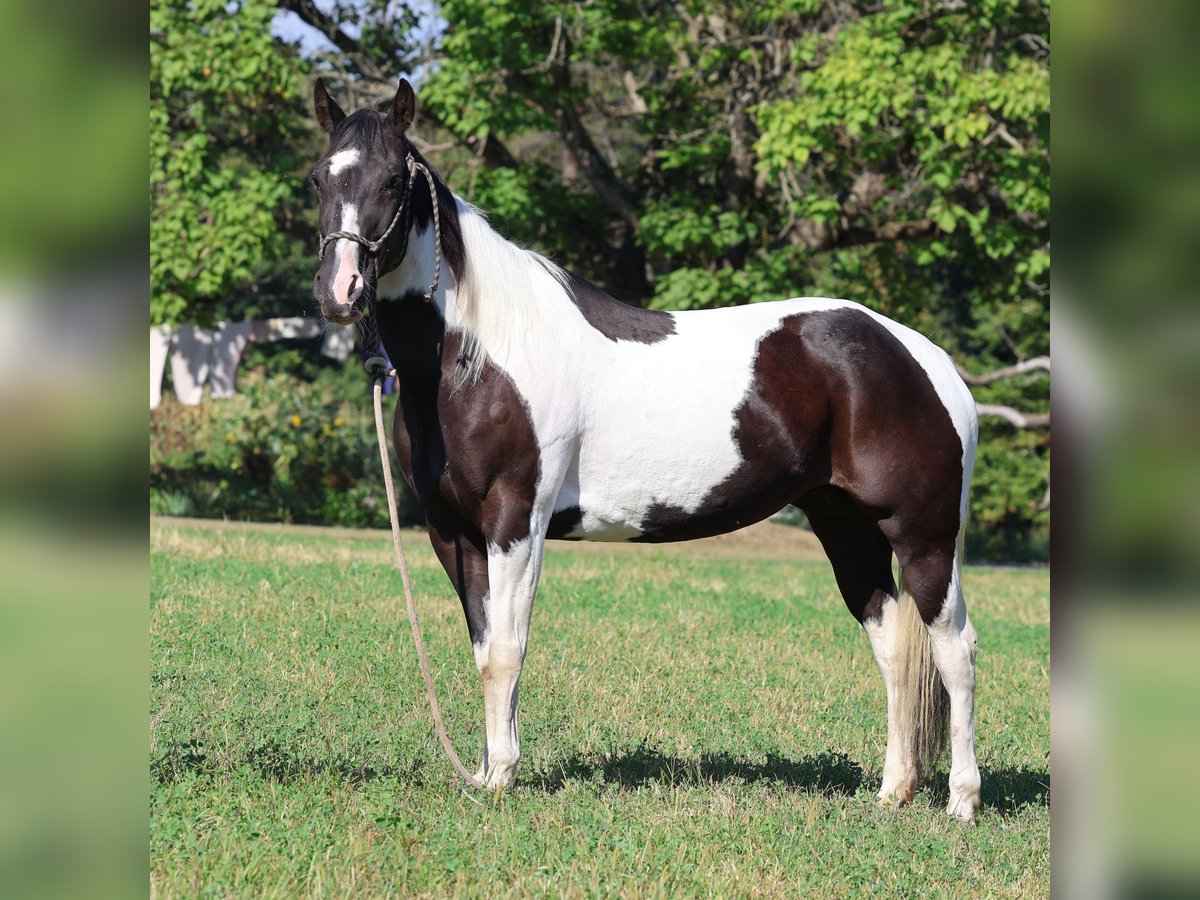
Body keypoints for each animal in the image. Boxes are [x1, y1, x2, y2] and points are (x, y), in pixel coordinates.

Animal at [308, 77, 982, 821]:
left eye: (393, 180)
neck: (478, 357)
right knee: (892, 646)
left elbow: (507, 649)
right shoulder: (450, 531)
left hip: (922, 534)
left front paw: (504, 776)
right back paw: (893, 792)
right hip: (846, 526)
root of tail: (926, 360)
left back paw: (962, 801)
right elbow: (483, 648)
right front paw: (485, 775)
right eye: (319, 177)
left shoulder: (515, 523)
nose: (340, 292)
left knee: (954, 650)